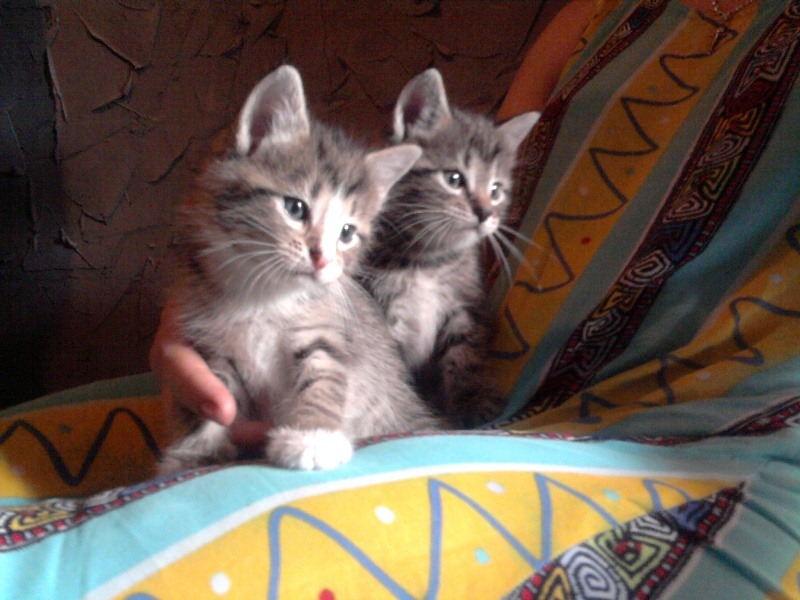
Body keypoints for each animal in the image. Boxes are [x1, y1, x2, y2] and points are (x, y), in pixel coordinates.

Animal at [159, 65, 440, 474]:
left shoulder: (327, 330)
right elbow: (215, 393)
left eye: (347, 233)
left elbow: (324, 374)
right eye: (295, 208)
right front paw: (194, 452)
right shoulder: (212, 343)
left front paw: (313, 437)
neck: (262, 295)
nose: (322, 259)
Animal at [358, 68, 540, 428]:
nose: (485, 214)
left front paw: (472, 399)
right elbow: (388, 368)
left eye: (496, 190)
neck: (427, 261)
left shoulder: (463, 304)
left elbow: (464, 353)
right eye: (454, 178)